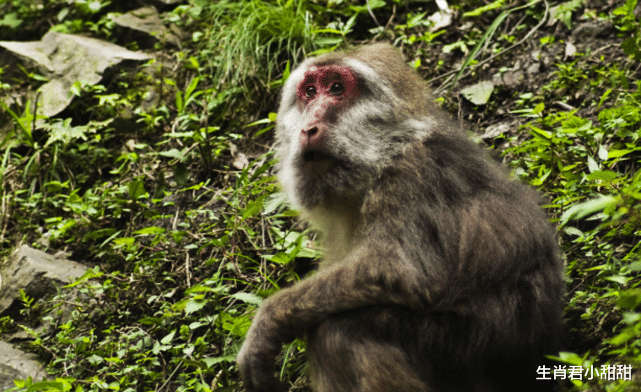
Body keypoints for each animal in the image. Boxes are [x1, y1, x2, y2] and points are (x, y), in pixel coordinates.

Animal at [235, 43, 560, 392]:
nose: (309, 127)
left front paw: (268, 323)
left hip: (477, 343)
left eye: (337, 88)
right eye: (309, 91)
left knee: (339, 333)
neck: (384, 157)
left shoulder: (410, 178)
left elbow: (400, 270)